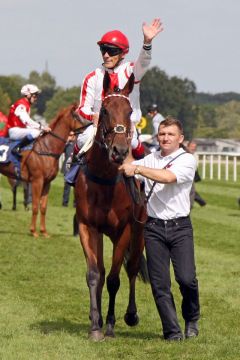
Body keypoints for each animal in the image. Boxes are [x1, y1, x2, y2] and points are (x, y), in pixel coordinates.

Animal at [0, 105, 81, 238]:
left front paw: (44, 232)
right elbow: (35, 206)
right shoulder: (37, 181)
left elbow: (43, 207)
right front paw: (33, 231)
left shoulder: (47, 183)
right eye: (77, 116)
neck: (47, 148)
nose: (90, 124)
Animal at [74, 72, 146, 340]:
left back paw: (131, 315)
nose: (119, 150)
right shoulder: (88, 226)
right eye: (104, 110)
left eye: (129, 111)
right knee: (104, 272)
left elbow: (115, 279)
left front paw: (111, 325)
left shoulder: (124, 230)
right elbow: (95, 274)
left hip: (139, 231)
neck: (104, 179)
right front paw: (95, 326)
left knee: (132, 268)